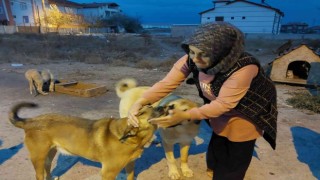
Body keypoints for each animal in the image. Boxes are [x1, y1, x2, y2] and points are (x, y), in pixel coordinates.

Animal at [9, 102, 165, 179]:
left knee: (47, 169)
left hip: (49, 154)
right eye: (142, 113)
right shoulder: (108, 173)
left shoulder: (130, 165)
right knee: (39, 175)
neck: (132, 138)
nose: (162, 106)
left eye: (151, 106)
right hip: (38, 157)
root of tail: (29, 121)